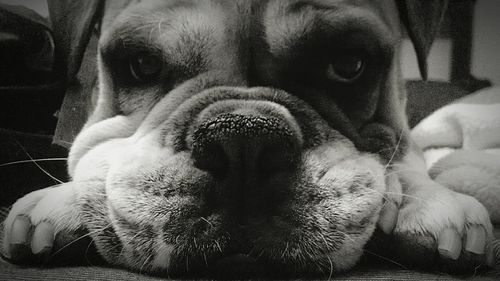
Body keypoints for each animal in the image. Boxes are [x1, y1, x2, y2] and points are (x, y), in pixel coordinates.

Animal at [0, 0, 494, 276]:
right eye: (142, 64)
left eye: (349, 64)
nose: (243, 138)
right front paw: (66, 201)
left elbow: (406, 157)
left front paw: (425, 200)